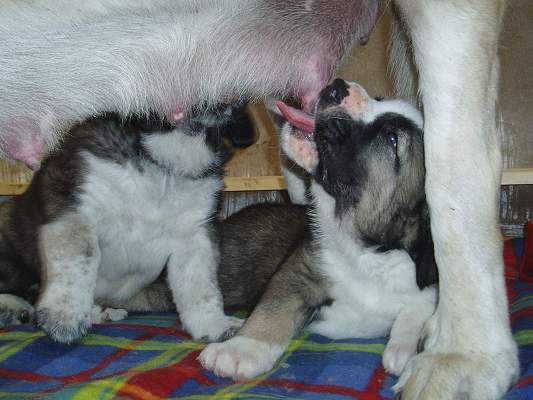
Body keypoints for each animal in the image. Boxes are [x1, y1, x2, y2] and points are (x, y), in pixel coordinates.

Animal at [0, 107, 242, 344]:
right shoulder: (74, 208)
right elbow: (80, 256)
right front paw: (64, 315)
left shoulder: (196, 232)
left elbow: (200, 282)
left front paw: (213, 324)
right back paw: (13, 308)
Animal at [200, 79, 436, 382]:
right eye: (380, 99)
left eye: (392, 139)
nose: (338, 86)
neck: (365, 253)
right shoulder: (300, 271)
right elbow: (273, 310)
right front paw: (241, 349)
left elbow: (419, 307)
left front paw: (406, 349)